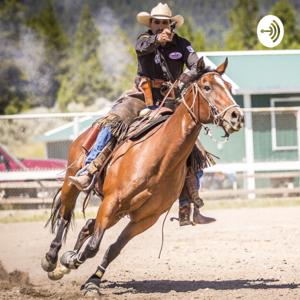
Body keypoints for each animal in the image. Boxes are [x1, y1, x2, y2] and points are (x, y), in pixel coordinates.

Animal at [41, 57, 244, 294]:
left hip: (122, 211)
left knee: (87, 225)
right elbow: (94, 246)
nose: (236, 116)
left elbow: (113, 248)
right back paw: (52, 260)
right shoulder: (111, 202)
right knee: (65, 214)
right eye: (207, 87)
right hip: (73, 183)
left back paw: (64, 264)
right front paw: (71, 262)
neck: (159, 158)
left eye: (228, 87)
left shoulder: (145, 218)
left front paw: (91, 280)